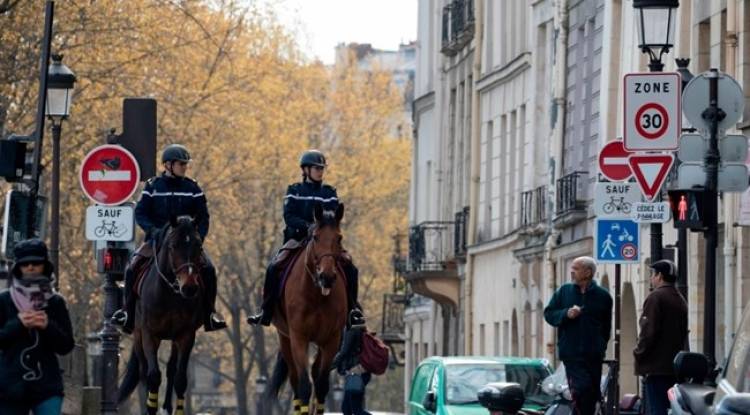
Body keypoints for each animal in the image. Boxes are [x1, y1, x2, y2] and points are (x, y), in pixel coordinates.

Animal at [117, 216, 206, 415]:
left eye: (198, 245)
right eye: (173, 245)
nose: (189, 287)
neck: (170, 292)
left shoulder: (186, 336)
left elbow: (180, 378)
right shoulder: (149, 334)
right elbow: (153, 376)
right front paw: (150, 408)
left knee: (171, 369)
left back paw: (166, 407)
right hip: (138, 335)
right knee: (144, 372)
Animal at [267, 203, 349, 415]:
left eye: (339, 238)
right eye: (316, 237)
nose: (327, 277)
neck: (317, 295)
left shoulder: (331, 340)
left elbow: (321, 385)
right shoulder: (299, 337)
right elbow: (304, 385)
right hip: (285, 338)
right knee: (296, 381)